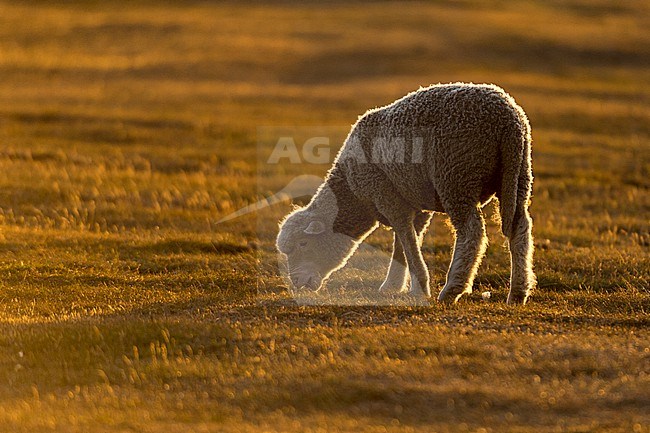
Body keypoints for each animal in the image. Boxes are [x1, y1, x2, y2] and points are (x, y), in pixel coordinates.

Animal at [276, 82, 536, 304]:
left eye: (303, 243)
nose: (297, 283)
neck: (353, 194)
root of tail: (508, 121)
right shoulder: (413, 200)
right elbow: (407, 239)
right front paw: (394, 284)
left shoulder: (385, 194)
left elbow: (405, 236)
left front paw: (418, 286)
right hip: (518, 175)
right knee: (520, 227)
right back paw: (518, 292)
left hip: (456, 176)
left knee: (471, 232)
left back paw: (452, 290)